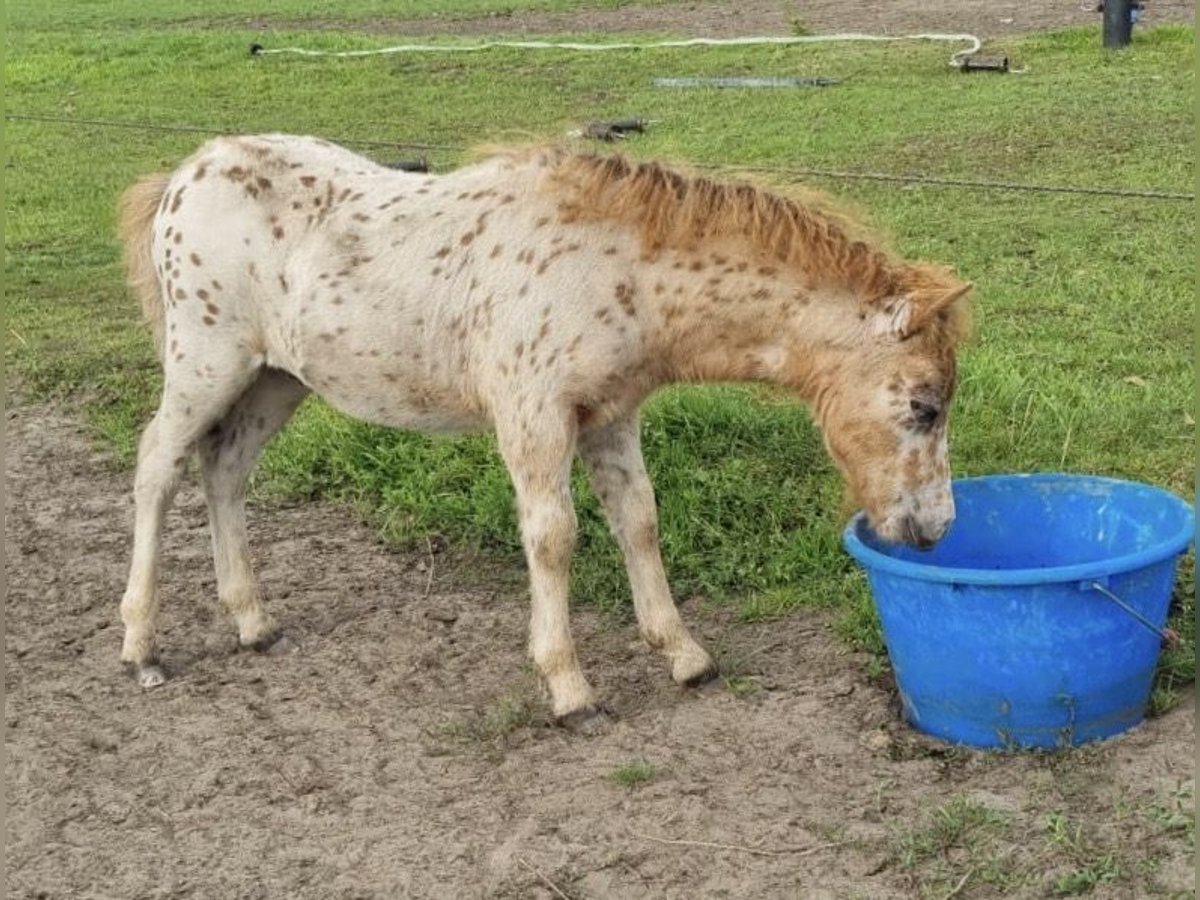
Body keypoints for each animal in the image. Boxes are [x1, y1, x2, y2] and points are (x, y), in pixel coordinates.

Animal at [117, 135, 969, 724]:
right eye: (925, 405)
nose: (933, 529)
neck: (617, 270)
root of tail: (186, 174)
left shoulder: (611, 417)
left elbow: (639, 521)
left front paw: (684, 655)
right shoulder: (535, 416)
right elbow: (554, 537)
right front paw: (569, 688)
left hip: (275, 381)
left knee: (224, 472)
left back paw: (252, 622)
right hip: (205, 364)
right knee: (157, 466)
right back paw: (141, 647)